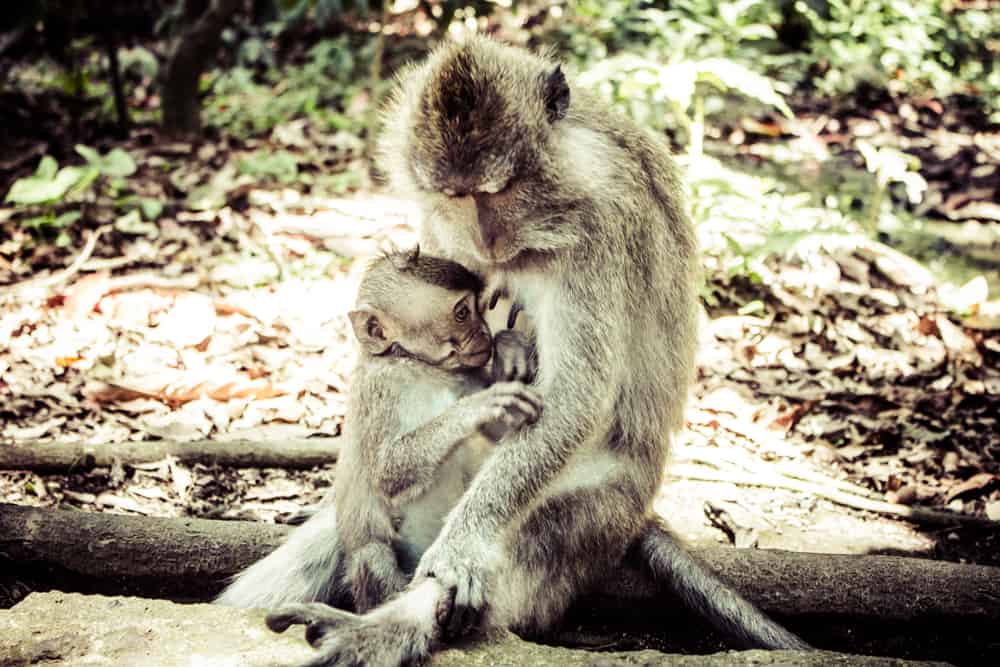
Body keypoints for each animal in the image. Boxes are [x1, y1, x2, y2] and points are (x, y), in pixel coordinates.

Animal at [268, 35, 812, 664]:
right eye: (456, 195)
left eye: (500, 189)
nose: (487, 242)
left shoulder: (604, 229)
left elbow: (575, 398)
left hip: (599, 509)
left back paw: (387, 625)